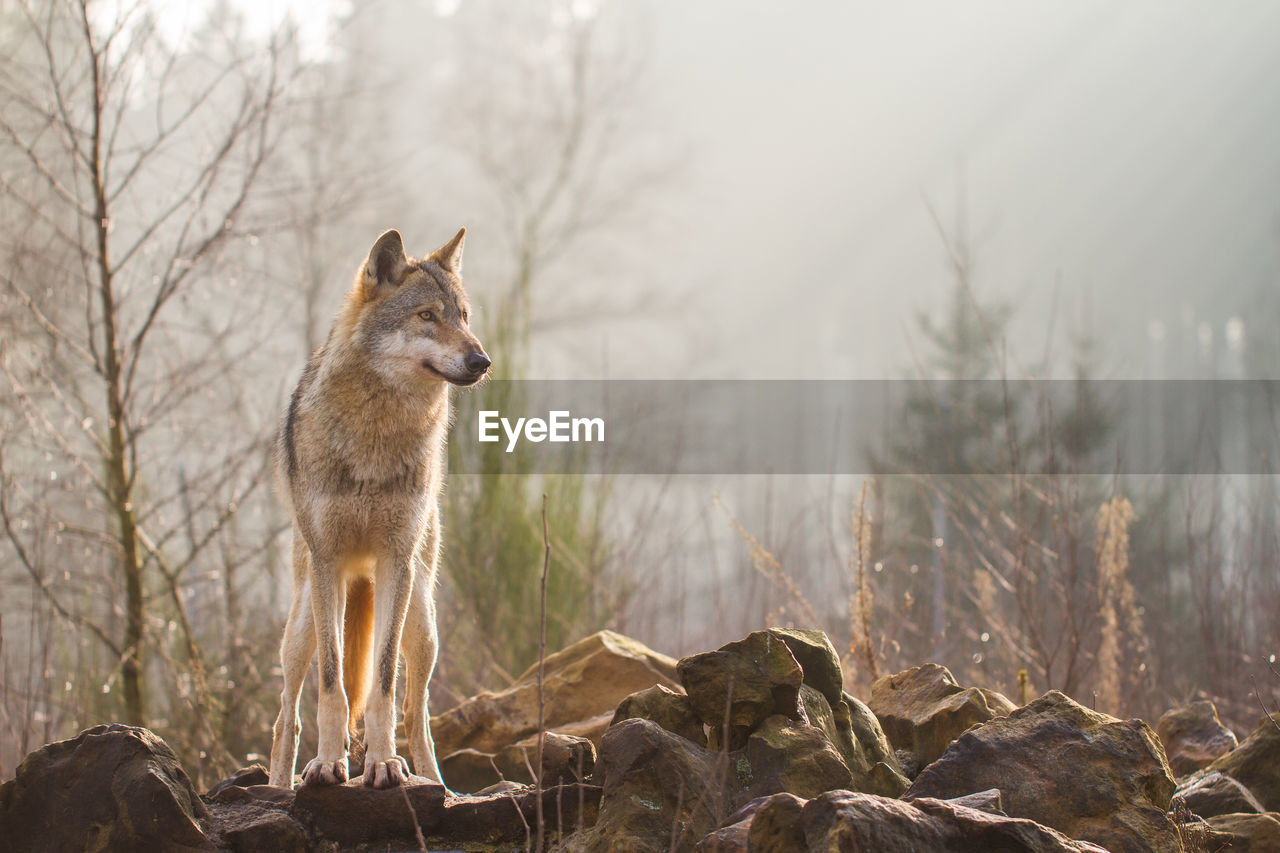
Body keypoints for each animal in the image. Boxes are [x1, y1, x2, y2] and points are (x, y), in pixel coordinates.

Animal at [267, 229, 486, 788]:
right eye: (427, 315)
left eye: (463, 316)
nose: (483, 361)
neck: (375, 436)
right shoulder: (327, 564)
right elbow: (332, 685)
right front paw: (328, 763)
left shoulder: (395, 562)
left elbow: (383, 685)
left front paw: (384, 764)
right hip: (302, 623)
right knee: (286, 714)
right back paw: (278, 784)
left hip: (422, 620)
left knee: (416, 711)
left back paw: (432, 781)